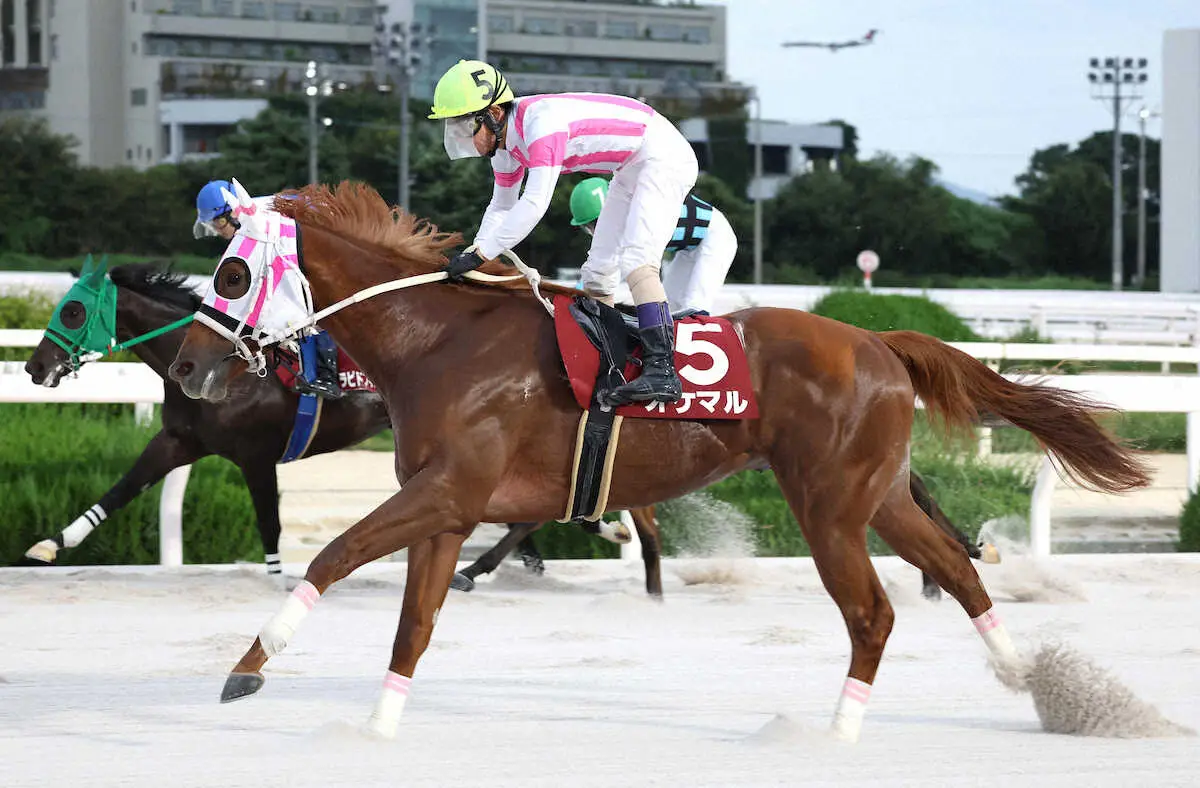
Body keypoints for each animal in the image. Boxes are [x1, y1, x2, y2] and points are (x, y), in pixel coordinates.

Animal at [166, 184, 1142, 743]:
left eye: (228, 273)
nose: (184, 369)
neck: (439, 339)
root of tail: (881, 341)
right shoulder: (446, 506)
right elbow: (416, 621)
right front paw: (376, 724)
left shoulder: (447, 491)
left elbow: (332, 556)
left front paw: (251, 666)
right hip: (877, 496)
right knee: (956, 567)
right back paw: (1022, 674)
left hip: (829, 507)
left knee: (873, 614)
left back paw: (832, 734)